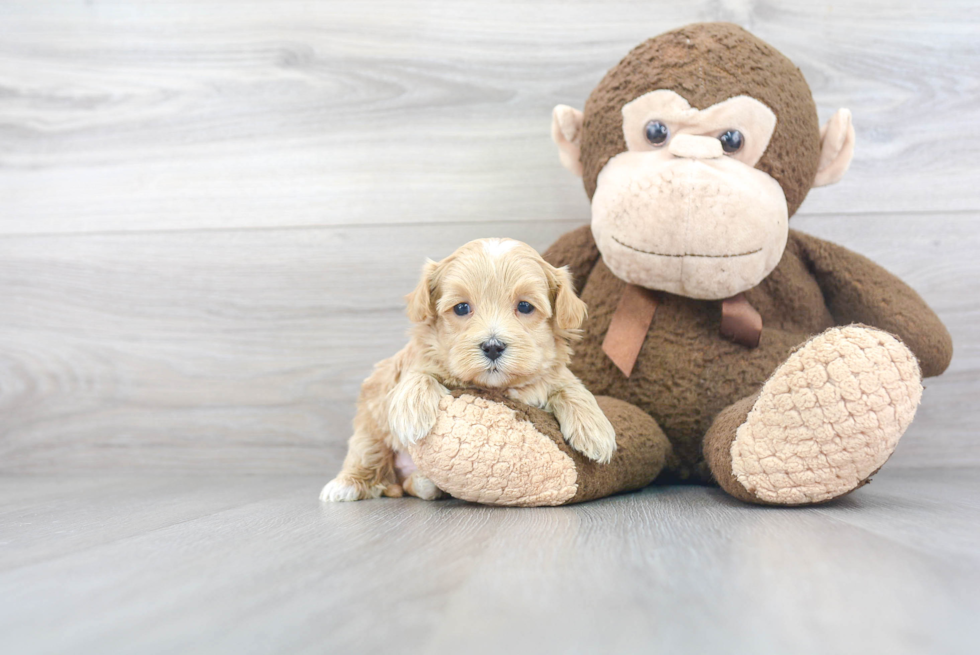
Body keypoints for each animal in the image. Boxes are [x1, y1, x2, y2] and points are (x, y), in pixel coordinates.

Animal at [320, 240, 612, 502]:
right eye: (462, 308)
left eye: (525, 306)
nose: (493, 346)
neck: (495, 386)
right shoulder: (409, 365)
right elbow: (419, 374)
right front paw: (412, 416)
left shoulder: (552, 373)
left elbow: (571, 386)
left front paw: (596, 431)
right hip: (370, 421)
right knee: (367, 454)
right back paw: (345, 485)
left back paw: (425, 483)